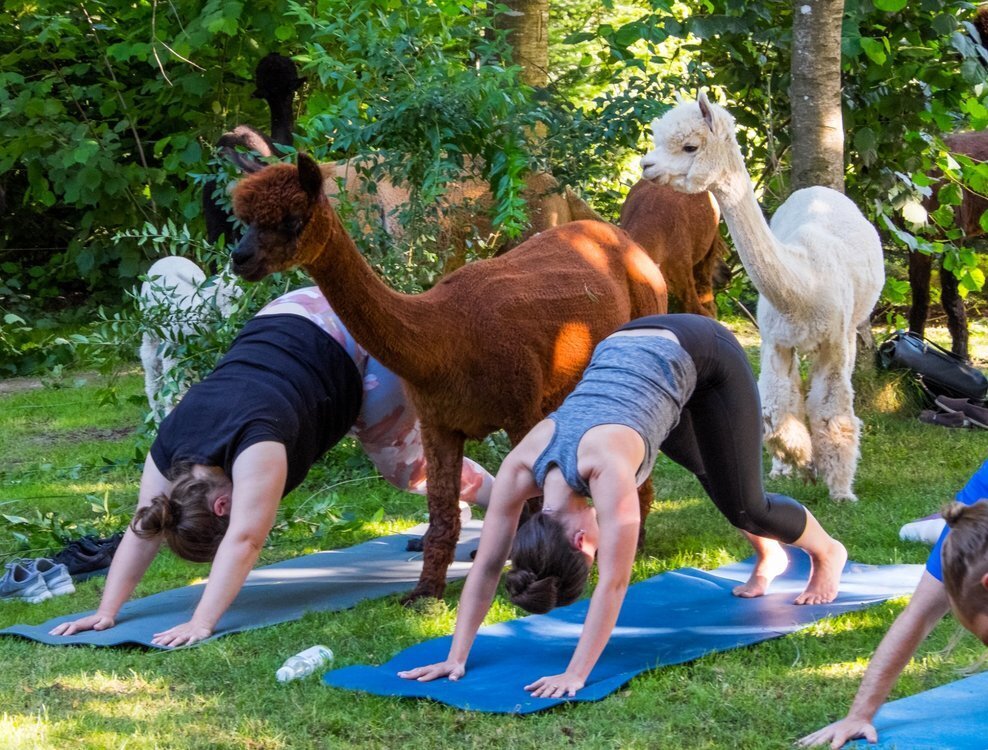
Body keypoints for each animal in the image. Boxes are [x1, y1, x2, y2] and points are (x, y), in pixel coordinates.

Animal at [229, 154, 668, 600]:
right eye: (246, 220)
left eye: (292, 219)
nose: (239, 257)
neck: (443, 341)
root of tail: (619, 235)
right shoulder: (438, 422)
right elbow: (442, 513)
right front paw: (425, 593)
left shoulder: (520, 410)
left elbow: (530, 500)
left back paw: (637, 540)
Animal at [641, 92, 884, 501]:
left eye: (690, 146)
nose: (646, 165)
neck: (804, 284)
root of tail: (820, 191)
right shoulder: (775, 341)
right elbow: (774, 408)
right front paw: (799, 462)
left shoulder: (833, 341)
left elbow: (832, 411)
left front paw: (839, 489)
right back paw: (785, 468)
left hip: (851, 326)